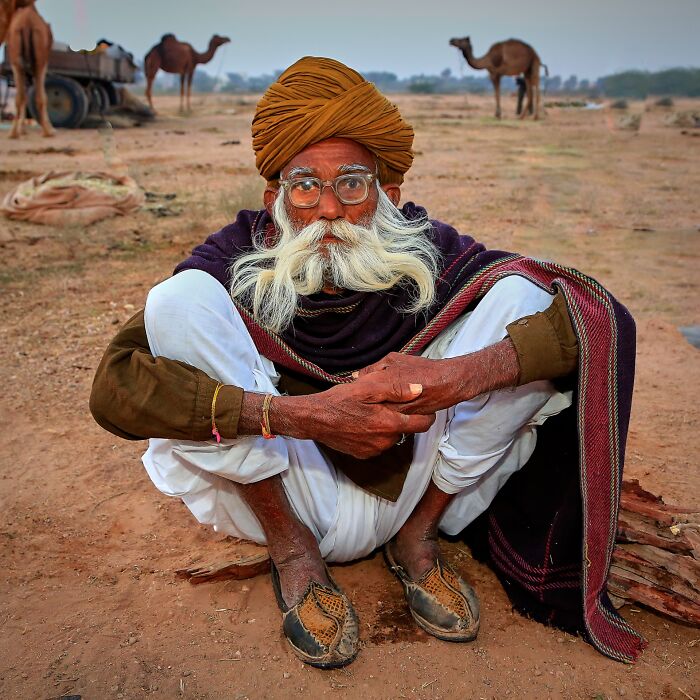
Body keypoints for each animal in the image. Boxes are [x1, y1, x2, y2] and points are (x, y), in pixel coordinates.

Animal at [4, 0, 54, 138]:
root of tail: (27, 22)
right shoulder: (43, 64)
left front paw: (22, 130)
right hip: (38, 64)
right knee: (38, 97)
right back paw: (47, 132)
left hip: (17, 64)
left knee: (21, 97)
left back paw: (13, 133)